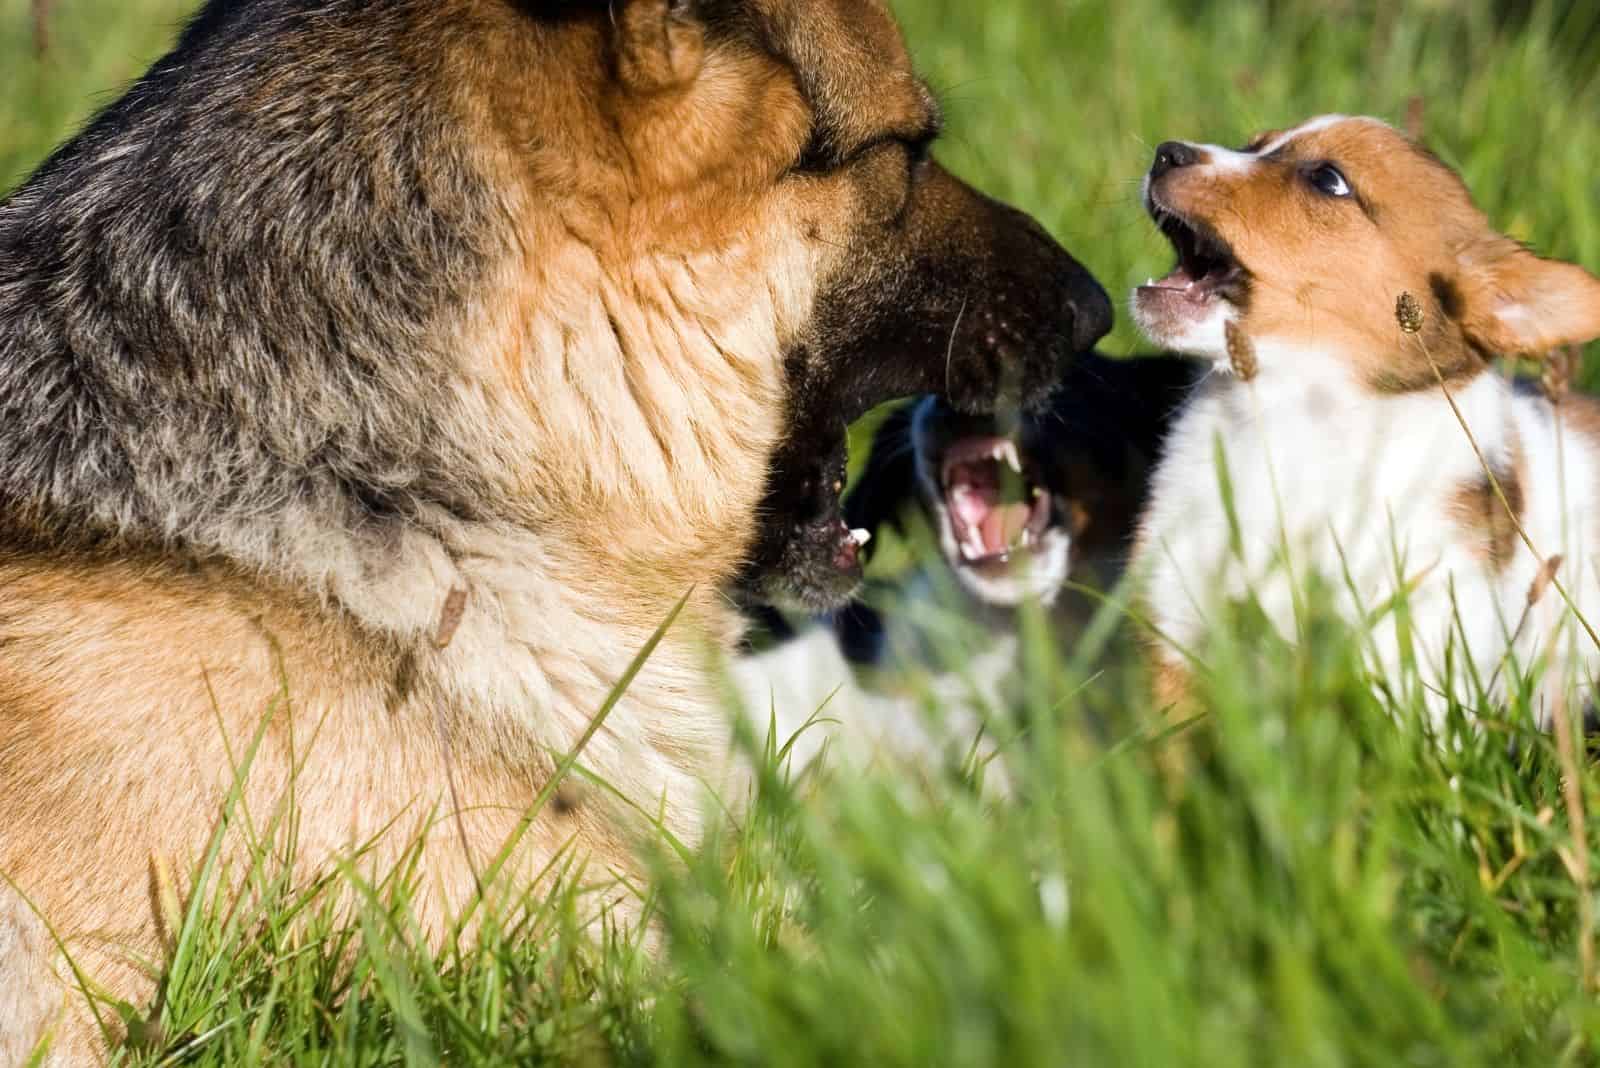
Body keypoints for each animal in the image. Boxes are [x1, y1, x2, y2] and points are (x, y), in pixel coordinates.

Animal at [1132, 115, 1600, 725]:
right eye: (1254, 145)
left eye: (1327, 179)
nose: (1166, 152)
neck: (1292, 419)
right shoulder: (1177, 627)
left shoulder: (1412, 667)